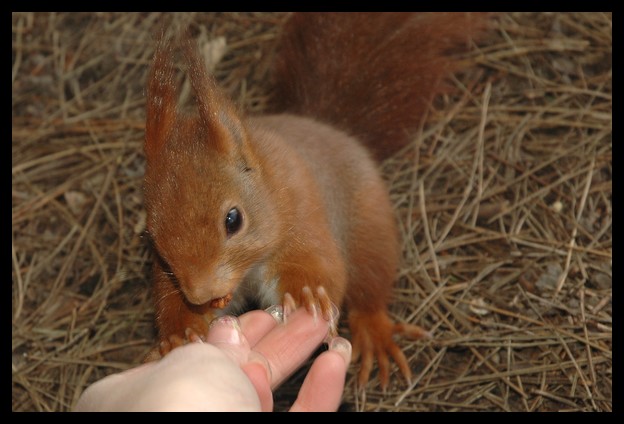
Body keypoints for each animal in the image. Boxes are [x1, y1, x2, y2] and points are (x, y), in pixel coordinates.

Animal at [143, 11, 488, 390]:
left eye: (233, 220)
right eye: (152, 233)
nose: (201, 293)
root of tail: (322, 127)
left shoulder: (303, 216)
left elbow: (320, 266)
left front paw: (306, 293)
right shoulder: (167, 274)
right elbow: (171, 301)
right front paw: (179, 334)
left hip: (368, 229)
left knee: (370, 286)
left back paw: (374, 331)